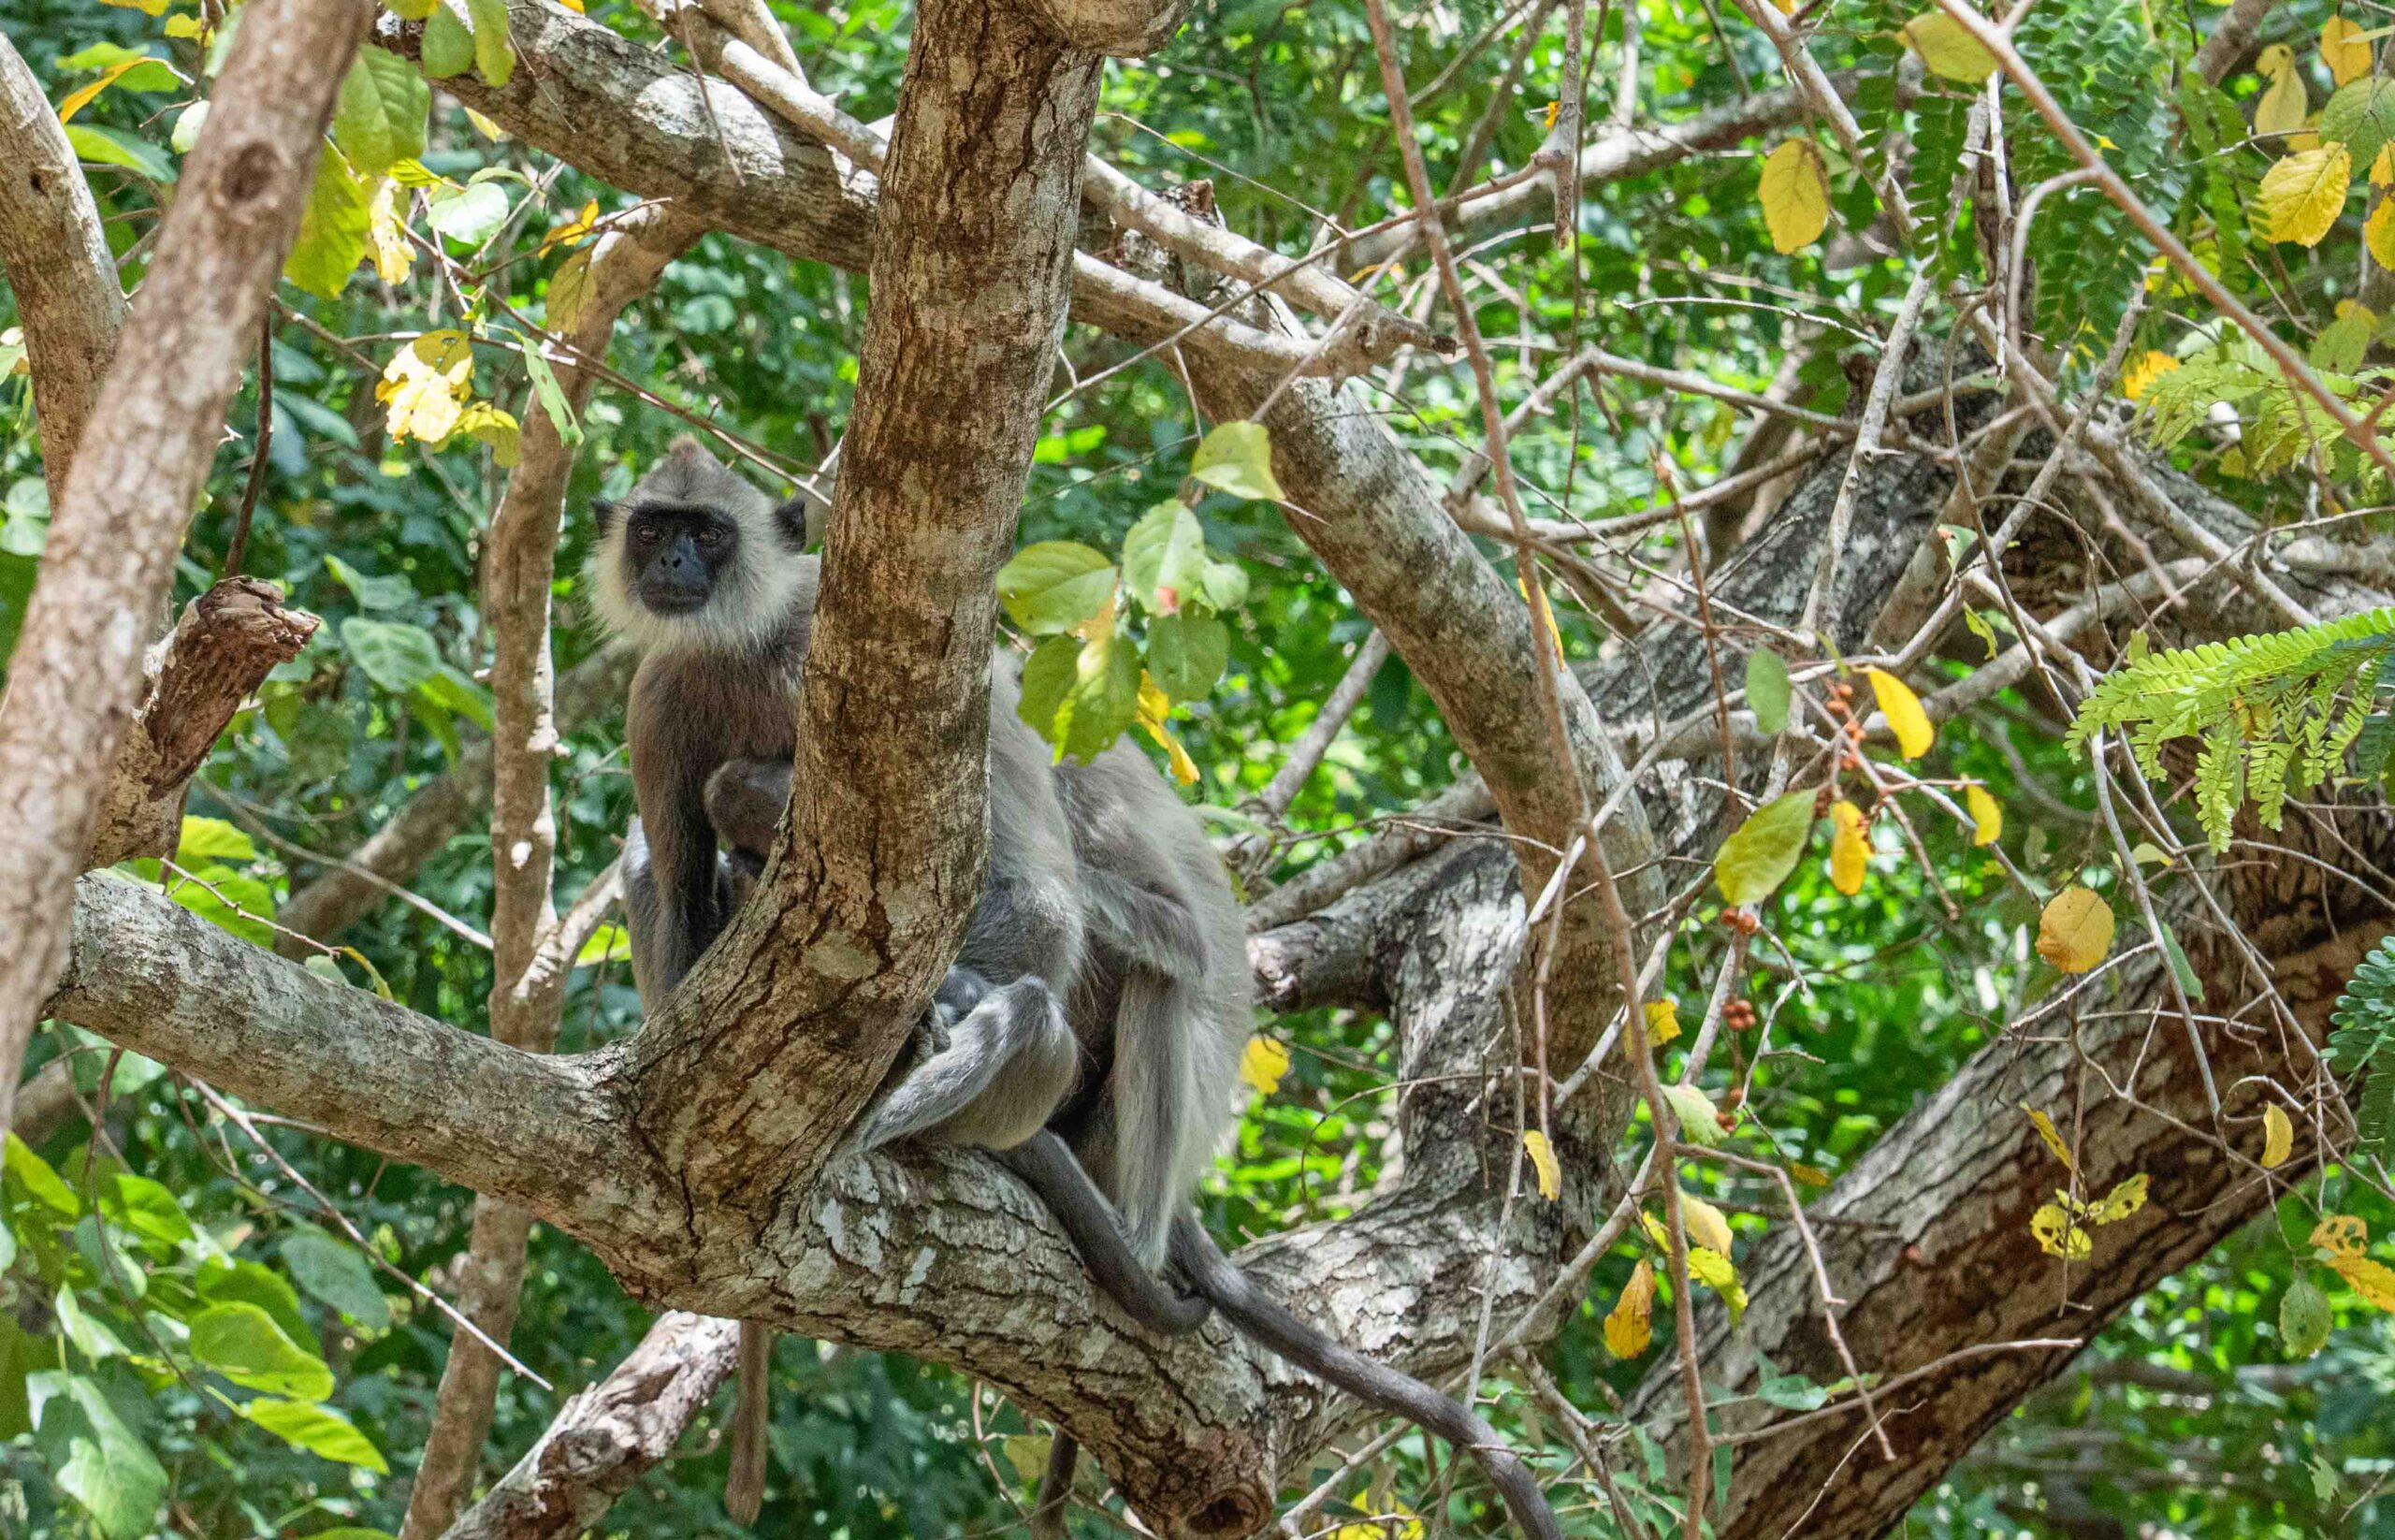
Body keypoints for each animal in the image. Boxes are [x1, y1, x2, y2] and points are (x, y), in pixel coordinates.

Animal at [596, 438, 1561, 1540]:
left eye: (708, 533)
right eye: (656, 529)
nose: (676, 564)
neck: (745, 647)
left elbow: (1048, 907)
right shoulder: (661, 694)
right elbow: (678, 879)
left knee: (1113, 983)